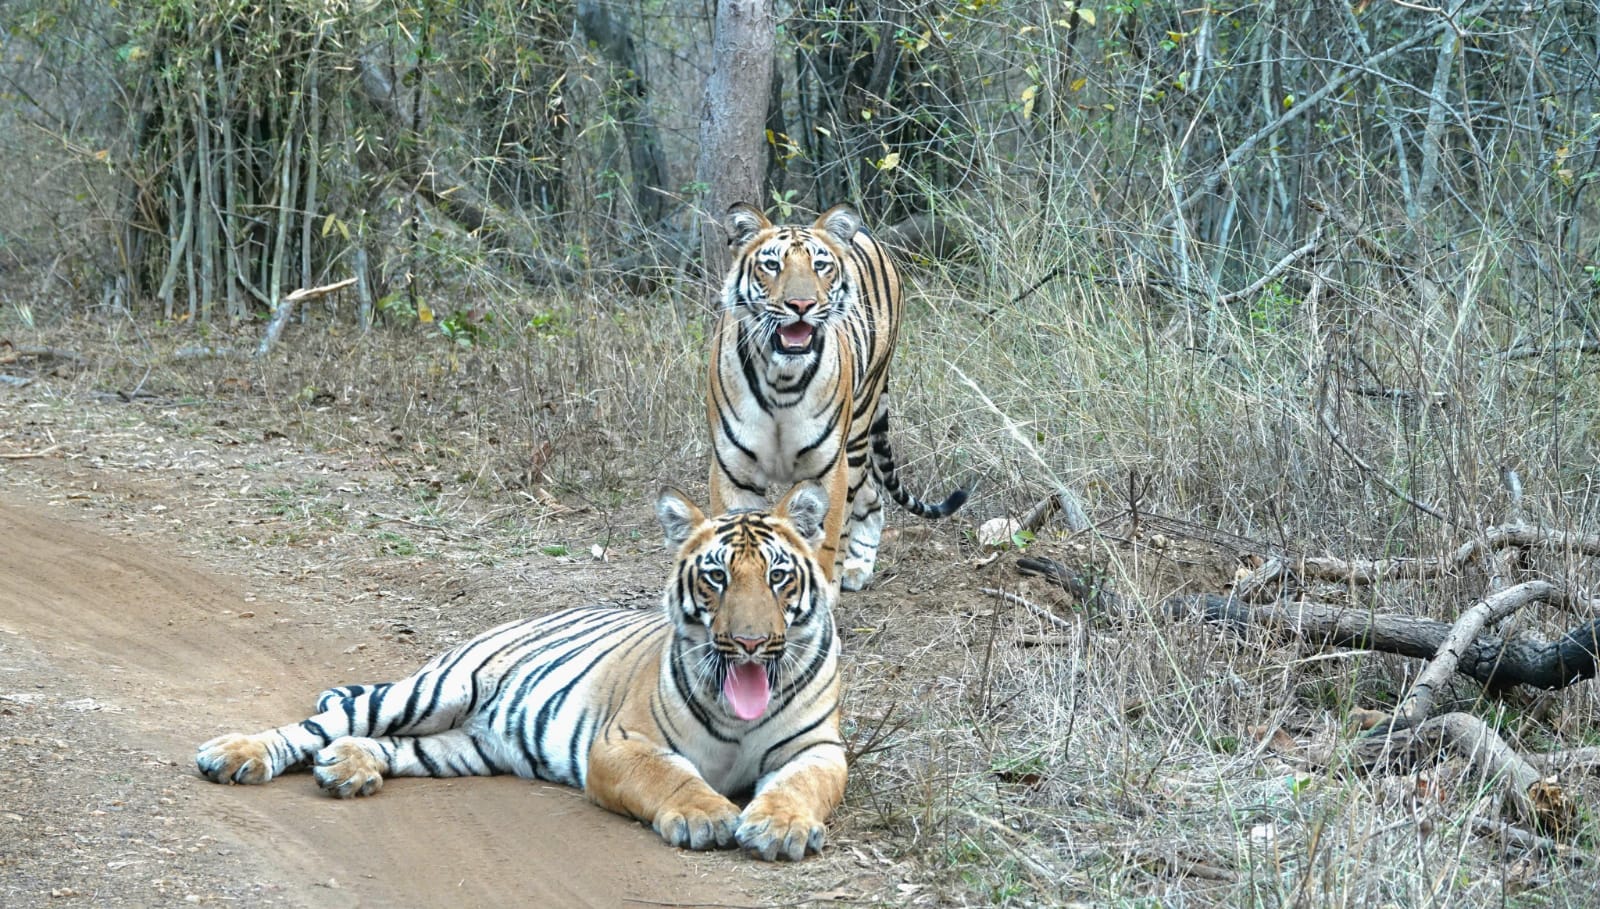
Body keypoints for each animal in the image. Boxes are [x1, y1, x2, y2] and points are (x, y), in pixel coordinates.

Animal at [195, 483, 844, 857]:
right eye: (716, 577)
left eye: (778, 576)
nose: (750, 643)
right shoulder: (621, 743)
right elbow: (670, 775)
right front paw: (706, 815)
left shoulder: (817, 749)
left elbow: (799, 785)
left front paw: (780, 828)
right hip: (434, 689)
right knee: (319, 725)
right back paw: (234, 755)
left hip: (465, 747)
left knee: (391, 746)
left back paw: (346, 768)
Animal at [716, 202, 966, 592]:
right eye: (771, 265)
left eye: (820, 265)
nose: (801, 304)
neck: (781, 380)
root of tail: (865, 232)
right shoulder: (734, 472)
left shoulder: (828, 468)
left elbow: (825, 537)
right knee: (871, 496)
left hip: (859, 429)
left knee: (868, 497)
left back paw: (855, 568)